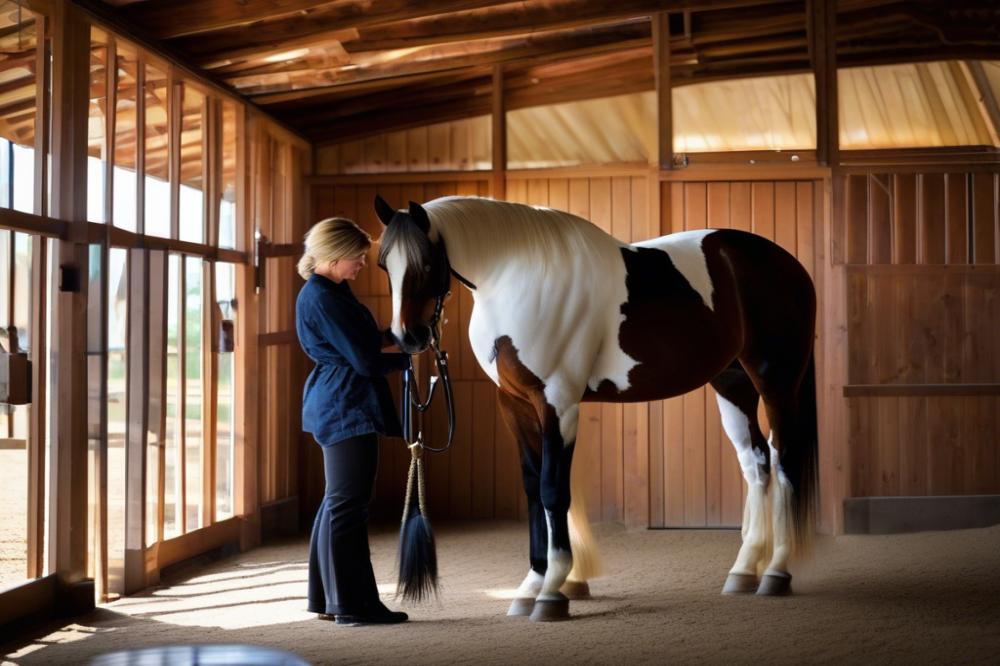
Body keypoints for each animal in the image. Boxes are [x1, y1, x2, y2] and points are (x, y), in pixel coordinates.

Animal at [374, 194, 818, 622]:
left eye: (426, 262)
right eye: (383, 264)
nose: (407, 337)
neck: (518, 280)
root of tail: (790, 265)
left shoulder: (558, 402)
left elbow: (553, 490)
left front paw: (553, 590)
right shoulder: (514, 404)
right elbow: (532, 488)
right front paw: (530, 585)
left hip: (775, 381)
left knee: (783, 460)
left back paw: (776, 572)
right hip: (732, 382)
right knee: (756, 462)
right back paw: (743, 571)